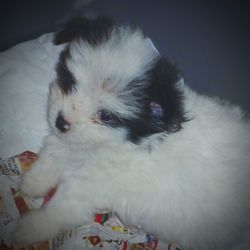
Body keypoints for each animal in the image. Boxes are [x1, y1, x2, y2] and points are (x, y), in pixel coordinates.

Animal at [13, 16, 250, 249]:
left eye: (105, 115)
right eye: (70, 81)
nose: (60, 121)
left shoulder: (87, 189)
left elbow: (59, 210)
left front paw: (28, 229)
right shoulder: (68, 142)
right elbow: (53, 154)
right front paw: (32, 182)